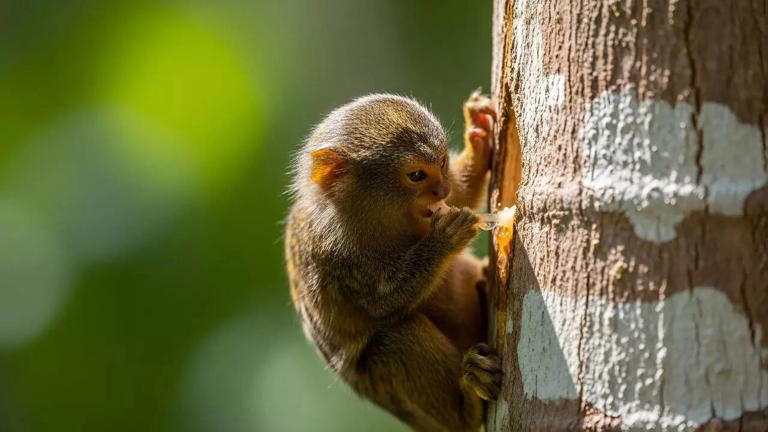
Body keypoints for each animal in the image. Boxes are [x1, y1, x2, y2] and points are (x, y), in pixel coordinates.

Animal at [285, 91, 501, 432]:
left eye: (442, 163)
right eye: (416, 175)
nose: (441, 188)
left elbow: (461, 195)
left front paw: (478, 137)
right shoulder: (330, 253)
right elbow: (383, 303)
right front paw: (444, 239)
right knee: (394, 340)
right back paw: (469, 403)